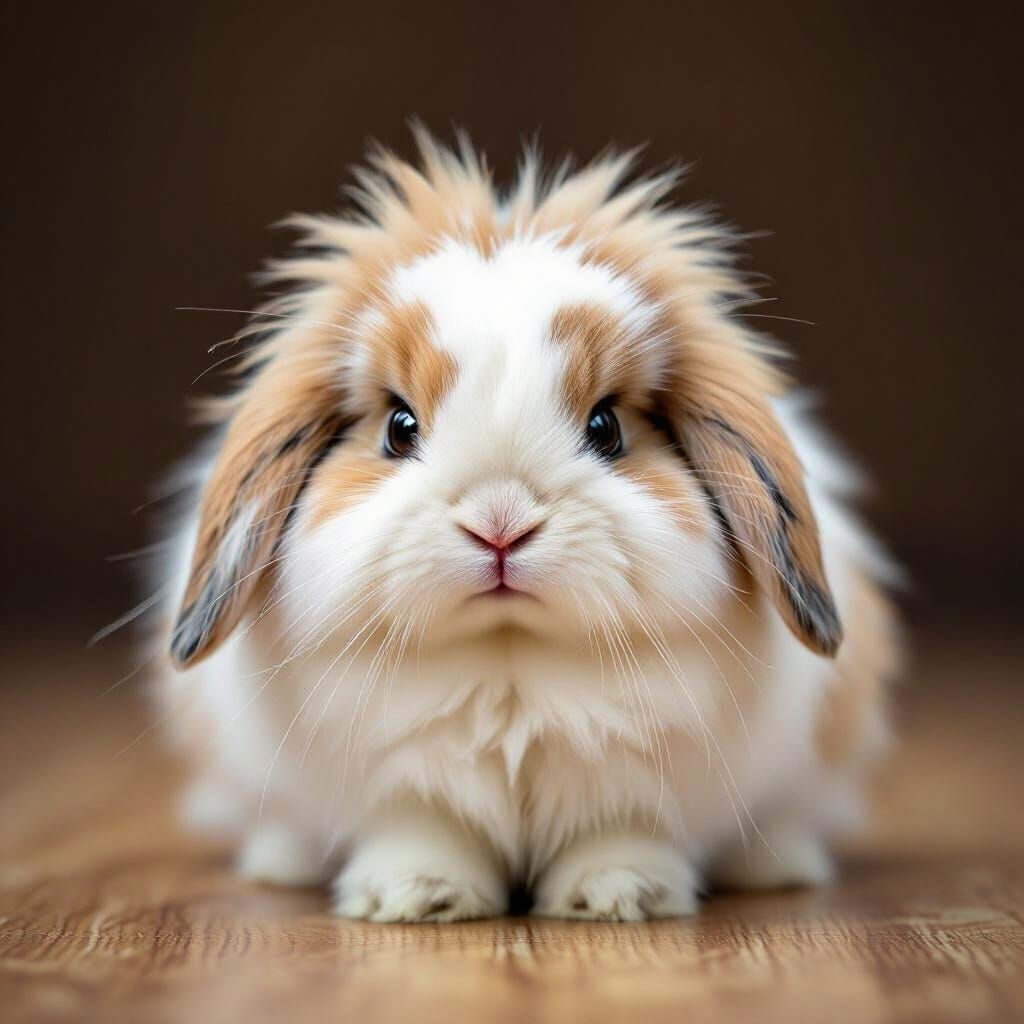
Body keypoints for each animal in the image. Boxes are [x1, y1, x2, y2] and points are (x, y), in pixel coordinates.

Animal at [153, 131, 900, 923]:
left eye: (606, 428)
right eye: (398, 428)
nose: (500, 526)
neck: (508, 661)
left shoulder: (635, 782)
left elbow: (622, 828)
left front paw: (618, 894)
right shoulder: (404, 785)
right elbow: (421, 827)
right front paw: (416, 895)